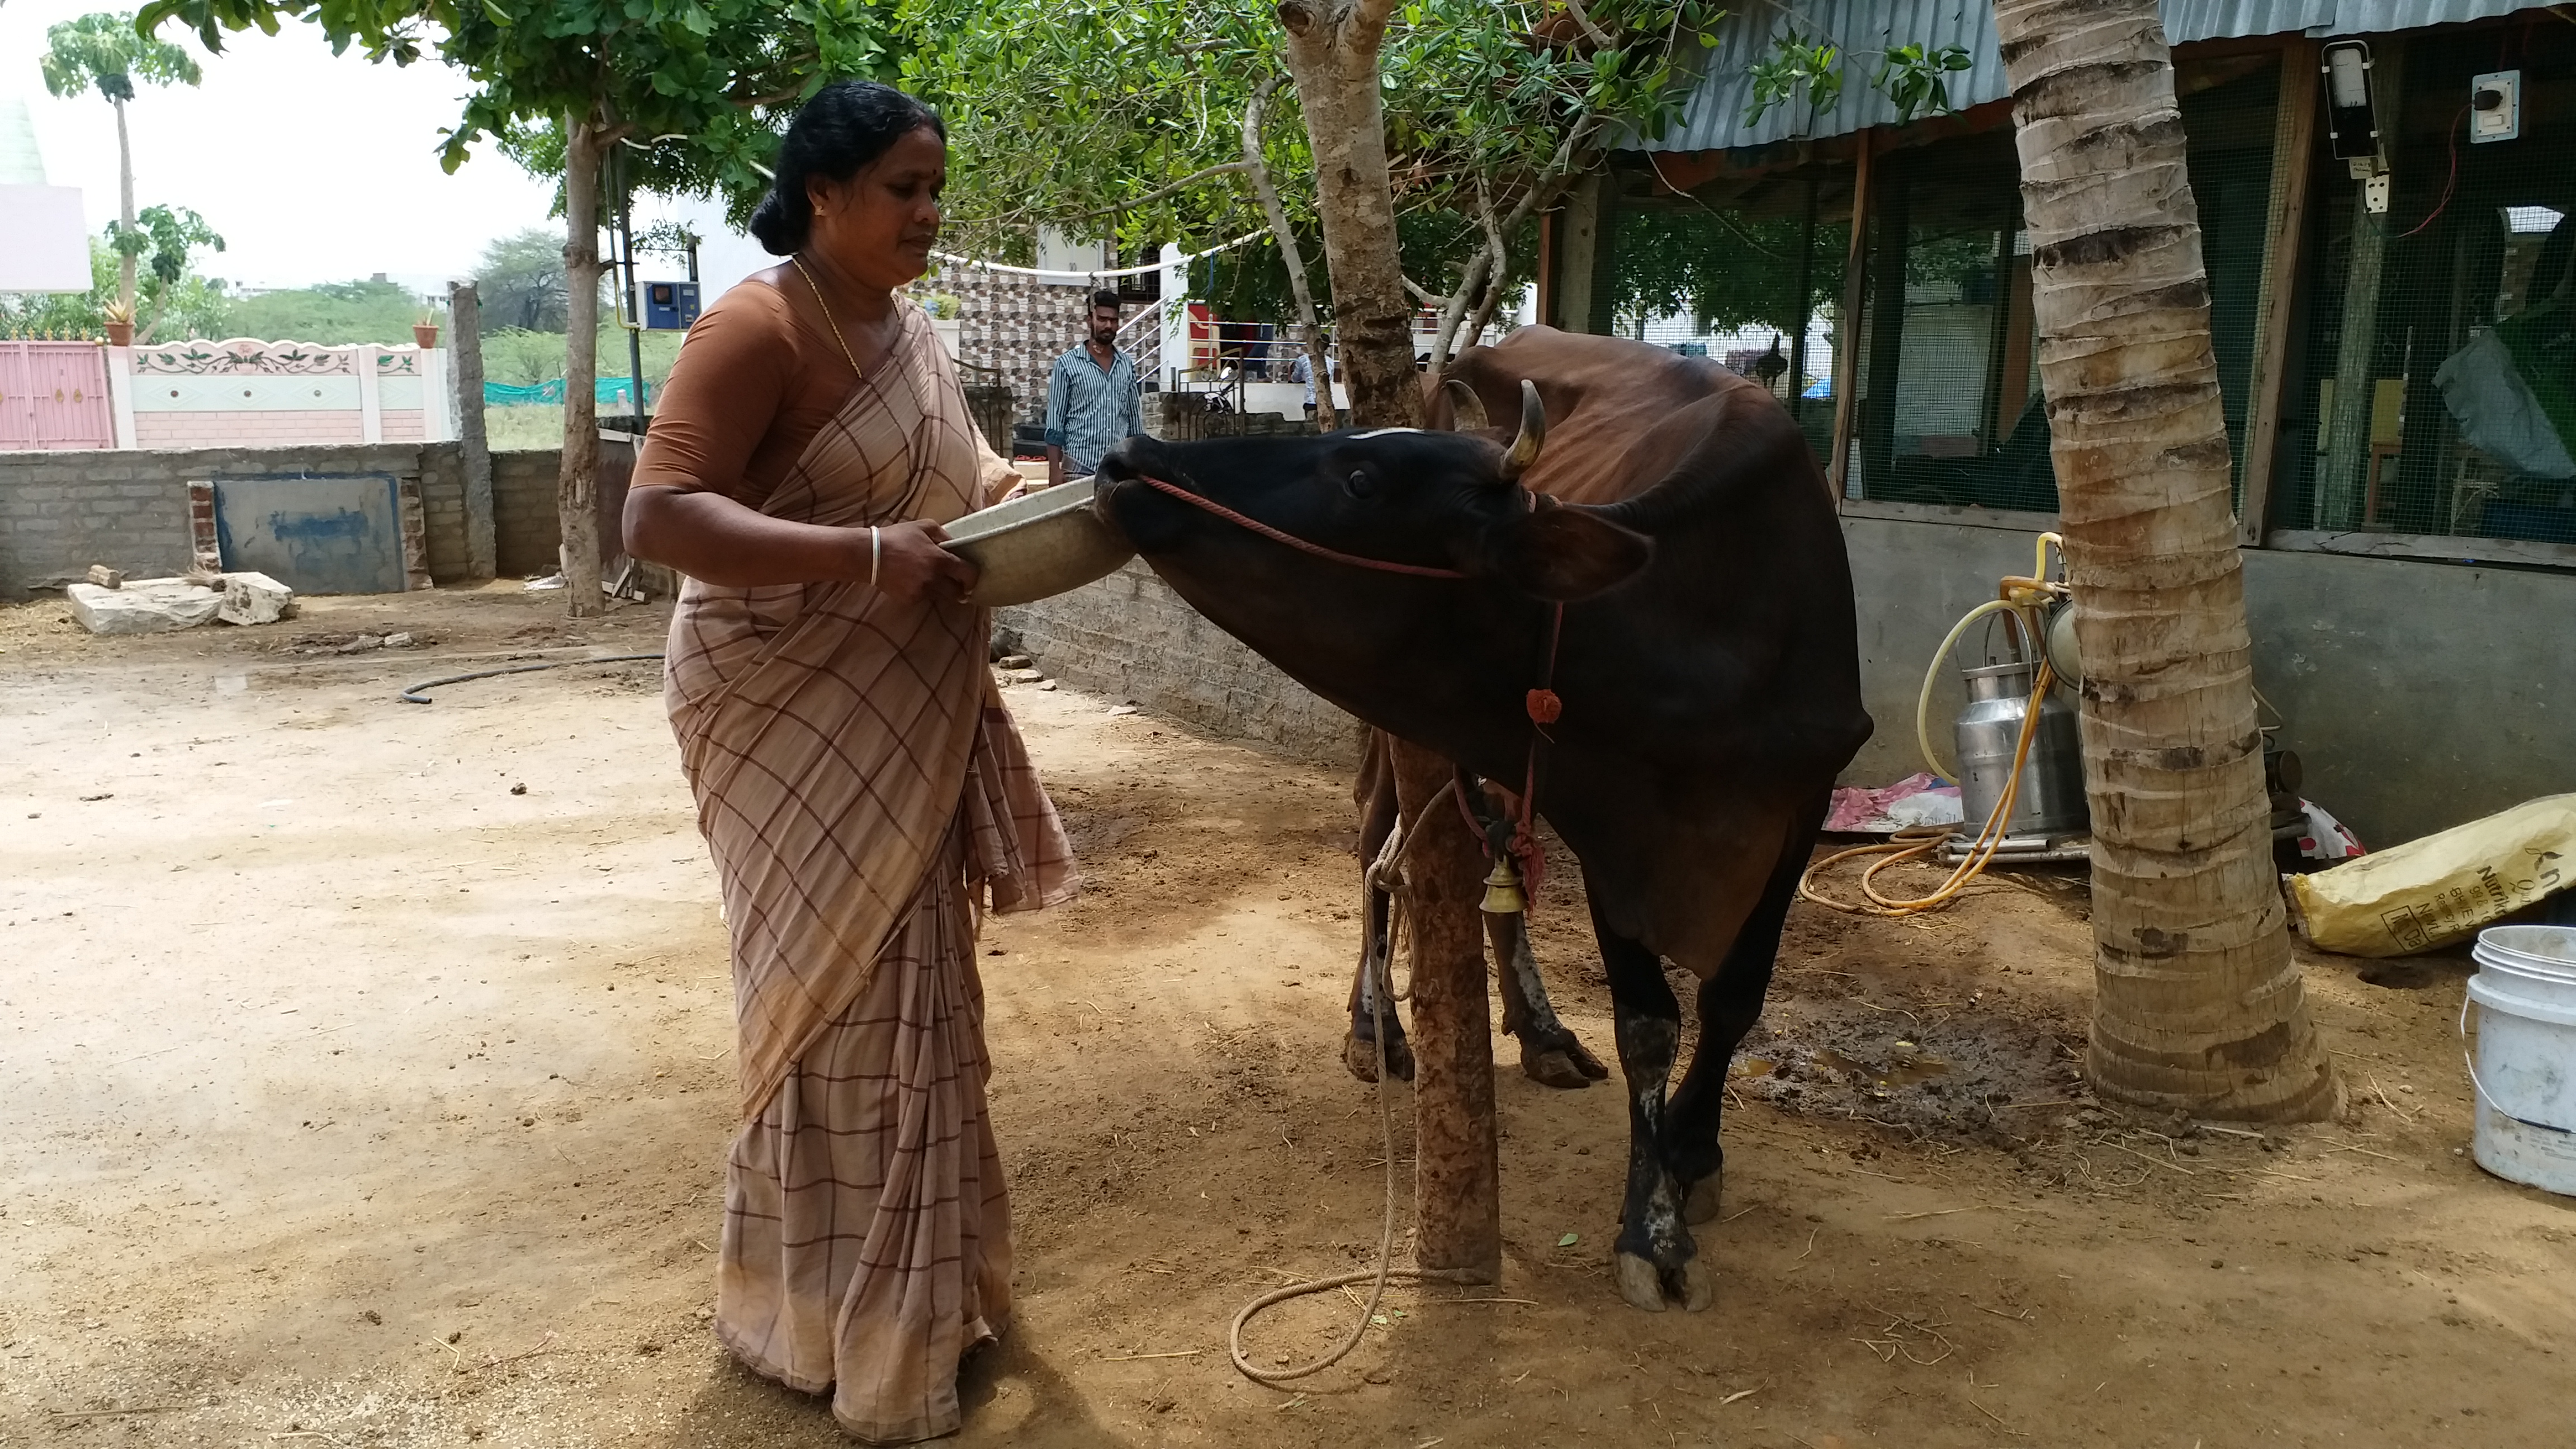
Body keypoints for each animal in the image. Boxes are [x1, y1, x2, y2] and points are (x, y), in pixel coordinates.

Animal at [1092, 327, 1875, 1309]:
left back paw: (1542, 1033)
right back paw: (1376, 1027)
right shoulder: (1600, 814)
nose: (1131, 458)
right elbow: (1649, 1024)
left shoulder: (1802, 803)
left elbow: (1735, 997)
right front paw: (1651, 1230)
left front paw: (1693, 1150)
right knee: (1375, 839)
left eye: (1362, 479)